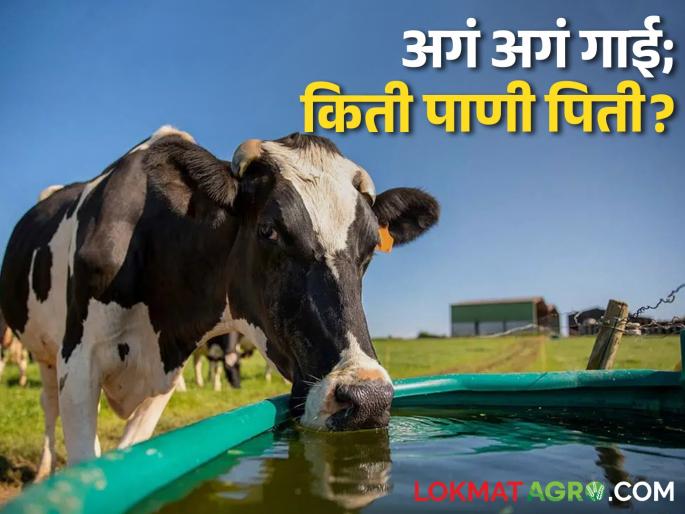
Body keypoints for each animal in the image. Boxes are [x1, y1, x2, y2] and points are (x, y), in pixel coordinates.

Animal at [0, 126, 439, 478]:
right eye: (269, 230)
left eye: (371, 246)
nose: (368, 399)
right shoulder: (79, 364)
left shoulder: (165, 378)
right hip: (44, 354)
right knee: (47, 405)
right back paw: (43, 470)